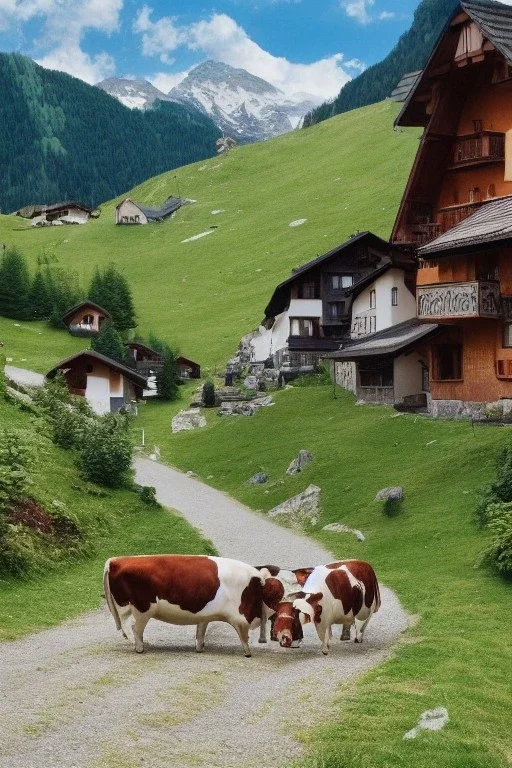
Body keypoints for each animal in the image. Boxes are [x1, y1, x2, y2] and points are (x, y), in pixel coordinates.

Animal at [104, 556, 280, 656]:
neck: (254, 586)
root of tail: (115, 560)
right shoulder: (240, 618)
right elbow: (243, 636)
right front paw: (247, 652)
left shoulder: (205, 616)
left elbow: (200, 632)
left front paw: (200, 648)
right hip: (142, 608)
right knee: (134, 627)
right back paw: (140, 648)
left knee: (128, 627)